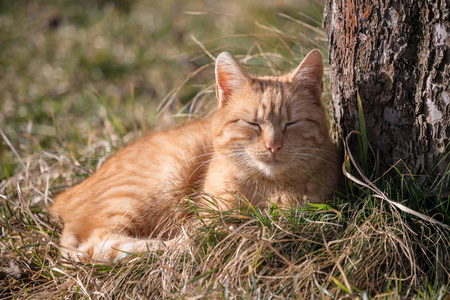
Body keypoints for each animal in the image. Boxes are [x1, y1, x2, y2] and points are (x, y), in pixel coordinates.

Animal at [50, 49, 342, 262]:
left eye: (291, 124)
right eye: (253, 124)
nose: (273, 146)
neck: (269, 189)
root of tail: (63, 197)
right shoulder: (211, 213)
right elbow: (215, 226)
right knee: (99, 245)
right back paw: (172, 245)